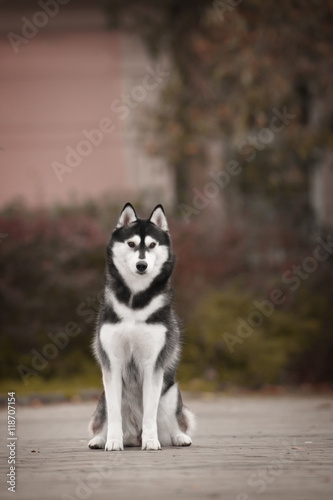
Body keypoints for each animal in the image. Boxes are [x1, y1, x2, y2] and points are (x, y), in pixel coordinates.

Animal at [88, 201, 193, 452]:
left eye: (152, 245)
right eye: (132, 244)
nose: (142, 264)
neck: (134, 302)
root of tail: (134, 436)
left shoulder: (152, 363)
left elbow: (150, 412)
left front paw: (152, 441)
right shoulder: (112, 363)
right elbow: (114, 414)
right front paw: (112, 441)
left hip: (171, 393)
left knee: (174, 421)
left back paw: (177, 437)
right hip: (103, 397)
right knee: (104, 418)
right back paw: (100, 439)